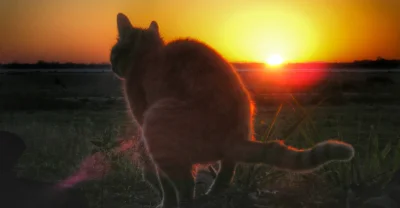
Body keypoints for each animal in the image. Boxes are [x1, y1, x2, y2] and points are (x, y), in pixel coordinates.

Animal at [108, 13, 354, 208]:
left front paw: (165, 203)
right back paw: (212, 193)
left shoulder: (144, 120)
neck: (148, 55)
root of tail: (233, 138)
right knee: (227, 169)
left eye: (114, 52)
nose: (111, 65)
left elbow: (165, 185)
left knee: (186, 186)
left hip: (156, 120)